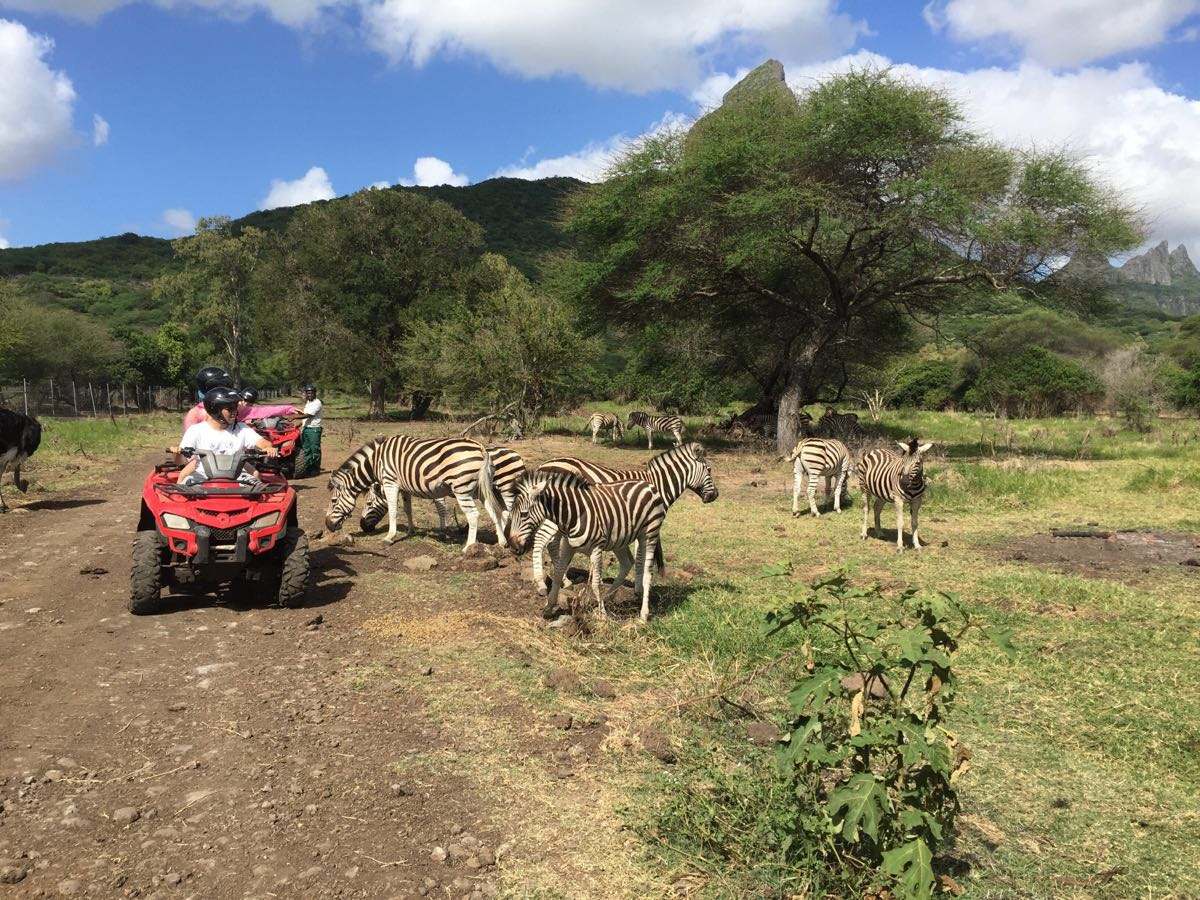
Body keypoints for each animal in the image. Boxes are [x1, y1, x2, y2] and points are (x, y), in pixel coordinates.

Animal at [324, 434, 501, 554]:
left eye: (333, 501)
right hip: (481, 489)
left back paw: (468, 547)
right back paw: (502, 543)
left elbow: (393, 510)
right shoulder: (404, 488)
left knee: (473, 515)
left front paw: (389, 537)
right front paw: (410, 531)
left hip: (461, 489)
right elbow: (407, 510)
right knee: (494, 511)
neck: (376, 461)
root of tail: (481, 448)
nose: (328, 526)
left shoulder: (390, 482)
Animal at [504, 468, 667, 624]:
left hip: (649, 534)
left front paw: (602, 616)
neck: (574, 515)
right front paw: (549, 607)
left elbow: (595, 584)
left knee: (647, 573)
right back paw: (606, 598)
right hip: (619, 539)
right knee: (627, 563)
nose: (513, 547)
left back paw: (643, 615)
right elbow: (558, 575)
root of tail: (648, 484)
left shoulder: (596, 549)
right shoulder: (568, 546)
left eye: (524, 514)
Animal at [537, 441, 720, 595]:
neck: (659, 484)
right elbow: (641, 556)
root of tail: (543, 465)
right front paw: (639, 588)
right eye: (709, 470)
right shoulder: (644, 519)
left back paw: (564, 580)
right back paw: (541, 584)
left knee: (552, 543)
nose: (715, 496)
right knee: (542, 539)